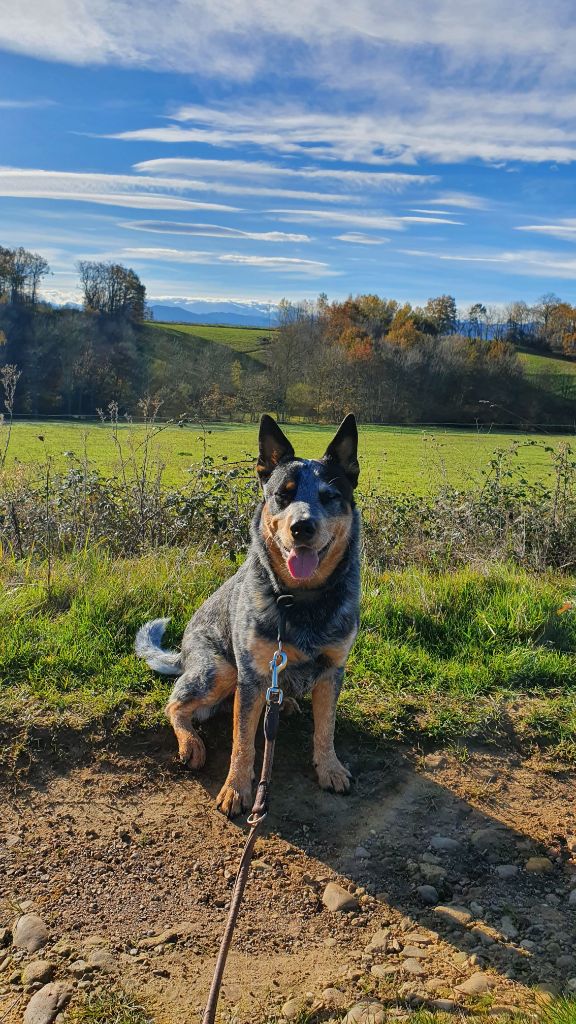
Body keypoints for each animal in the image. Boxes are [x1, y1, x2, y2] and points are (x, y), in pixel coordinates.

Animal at [134, 411, 358, 819]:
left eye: (330, 496)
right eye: (283, 494)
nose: (302, 527)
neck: (300, 602)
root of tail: (183, 653)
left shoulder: (333, 669)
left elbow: (326, 728)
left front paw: (330, 768)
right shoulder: (252, 676)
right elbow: (243, 742)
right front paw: (236, 789)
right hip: (221, 670)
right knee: (175, 704)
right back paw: (191, 743)